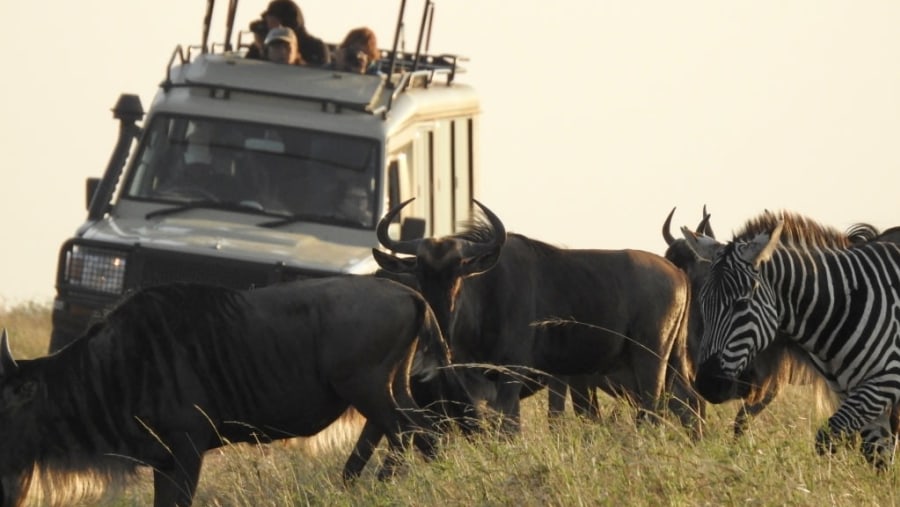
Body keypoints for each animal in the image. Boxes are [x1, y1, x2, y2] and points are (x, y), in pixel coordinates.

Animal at [684, 210, 900, 468]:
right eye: (702, 303)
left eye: (742, 304)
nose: (707, 385)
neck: (846, 304)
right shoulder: (857, 393)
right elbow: (877, 457)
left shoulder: (886, 380)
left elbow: (827, 438)